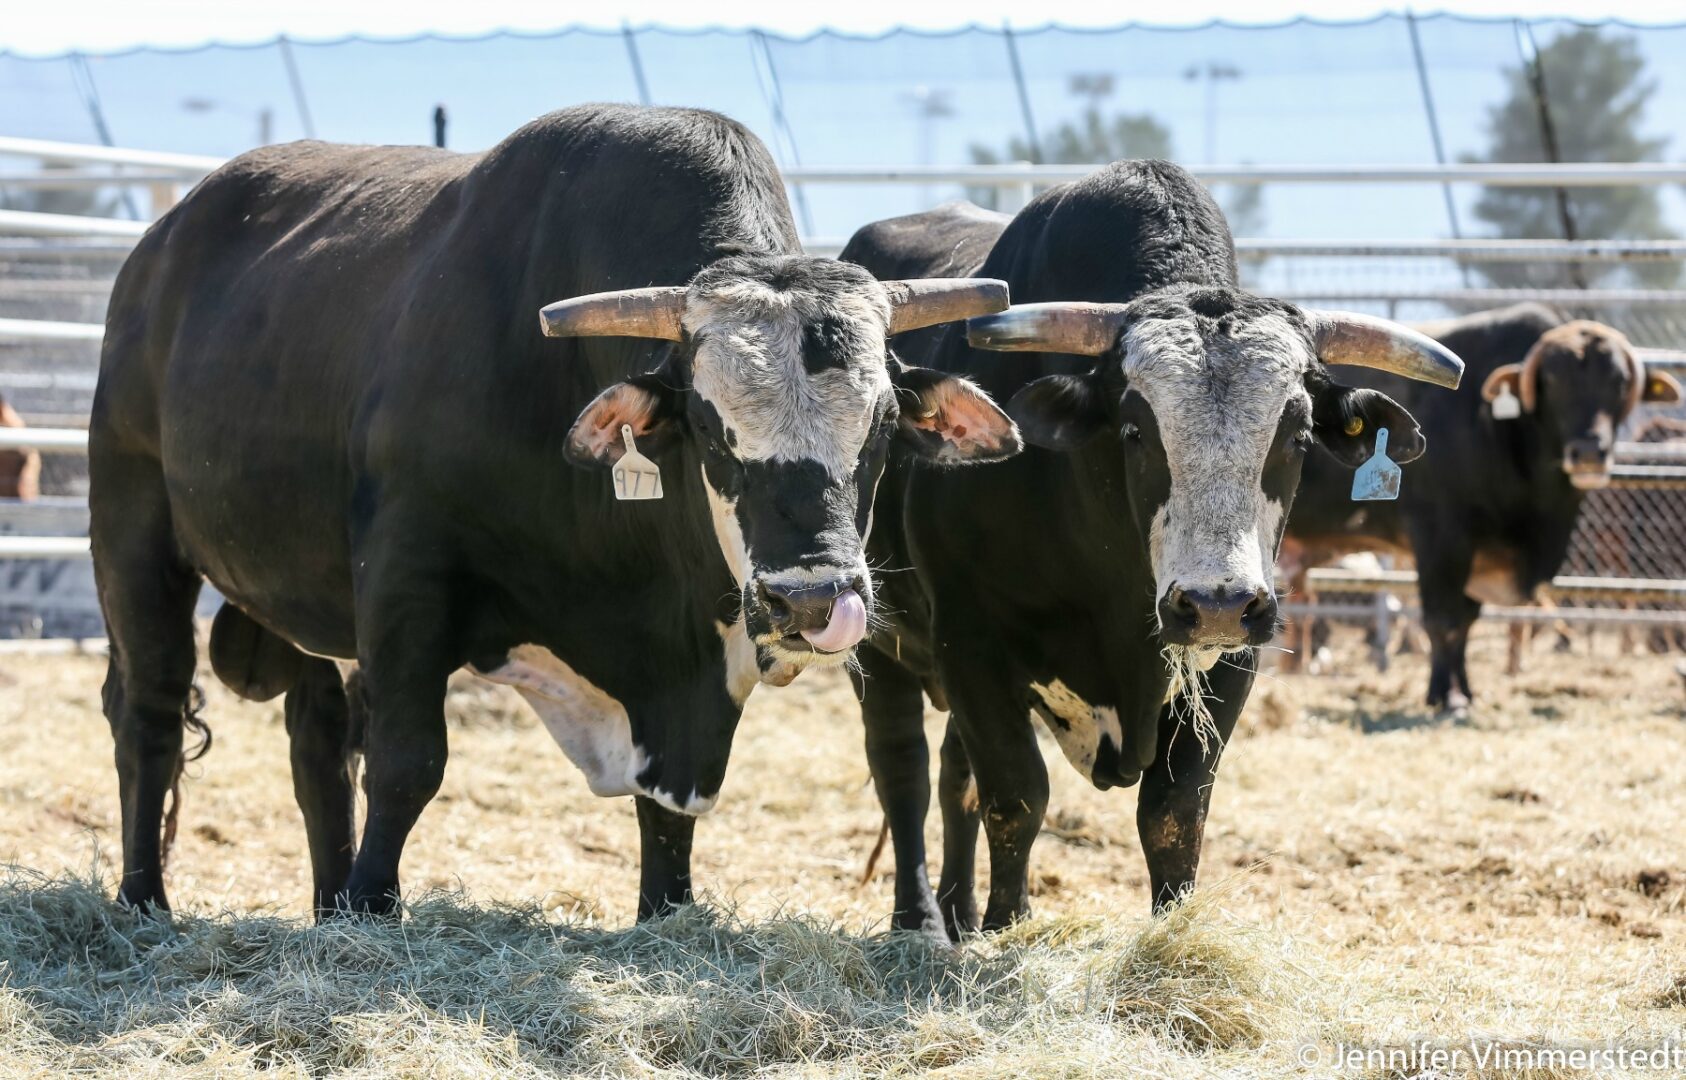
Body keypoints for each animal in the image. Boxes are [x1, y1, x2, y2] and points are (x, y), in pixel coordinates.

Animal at [90, 104, 1019, 920]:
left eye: (884, 426)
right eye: (710, 427)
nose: (814, 600)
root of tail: (163, 244)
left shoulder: (687, 677)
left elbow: (668, 809)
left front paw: (665, 909)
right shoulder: (405, 576)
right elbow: (406, 762)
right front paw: (372, 907)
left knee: (314, 732)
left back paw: (320, 901)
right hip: (132, 525)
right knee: (149, 711)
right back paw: (145, 901)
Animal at [839, 162, 1463, 937]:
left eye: (1296, 435)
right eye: (1135, 430)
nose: (1217, 604)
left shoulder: (1233, 660)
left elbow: (1173, 812)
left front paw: (1170, 931)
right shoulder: (973, 643)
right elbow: (1016, 795)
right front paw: (1010, 924)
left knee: (955, 778)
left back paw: (957, 911)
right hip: (878, 642)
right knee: (904, 771)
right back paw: (920, 919)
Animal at [1284, 303, 1681, 711]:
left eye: (1619, 382)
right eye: (1553, 381)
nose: (1588, 453)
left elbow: (1467, 622)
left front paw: (1464, 690)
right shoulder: (1440, 541)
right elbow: (1444, 620)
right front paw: (1445, 697)